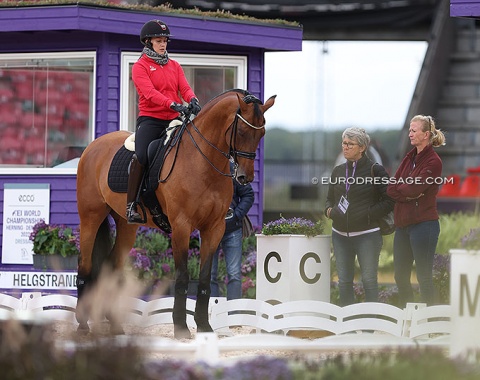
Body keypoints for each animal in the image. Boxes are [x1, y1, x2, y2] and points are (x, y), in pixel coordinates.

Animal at [76, 89, 278, 338]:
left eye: (261, 133)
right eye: (240, 131)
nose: (244, 177)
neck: (202, 162)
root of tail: (93, 146)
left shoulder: (214, 228)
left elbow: (204, 279)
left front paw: (204, 326)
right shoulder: (182, 226)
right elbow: (182, 277)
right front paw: (181, 327)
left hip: (126, 225)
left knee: (111, 267)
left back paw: (115, 326)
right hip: (90, 216)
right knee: (84, 263)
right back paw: (82, 324)